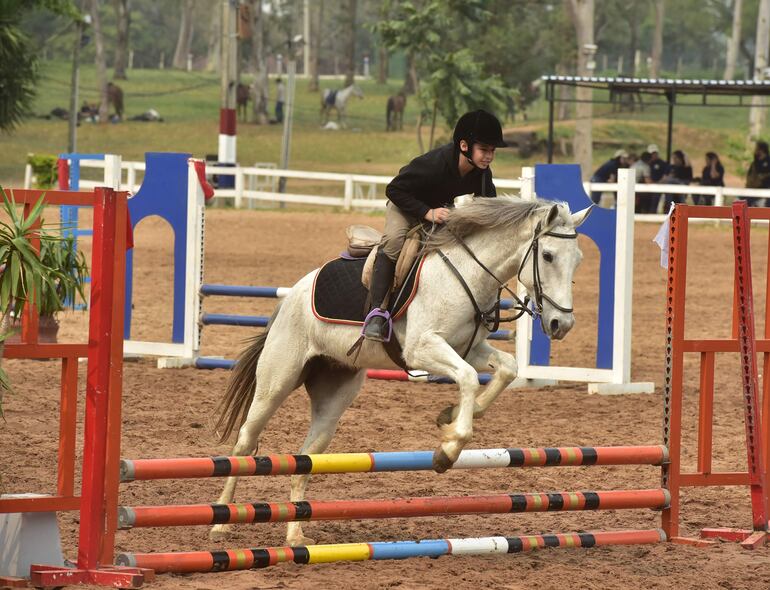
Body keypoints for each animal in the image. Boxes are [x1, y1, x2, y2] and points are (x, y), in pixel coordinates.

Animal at [210, 197, 588, 548]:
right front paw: (448, 448)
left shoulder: (470, 348)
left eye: (578, 259)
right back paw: (222, 522)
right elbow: (467, 377)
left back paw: (295, 536)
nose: (562, 324)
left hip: (333, 395)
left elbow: (506, 369)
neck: (468, 271)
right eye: (548, 256)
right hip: (276, 382)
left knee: (305, 459)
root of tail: (290, 297)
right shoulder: (421, 348)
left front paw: (449, 417)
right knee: (245, 442)